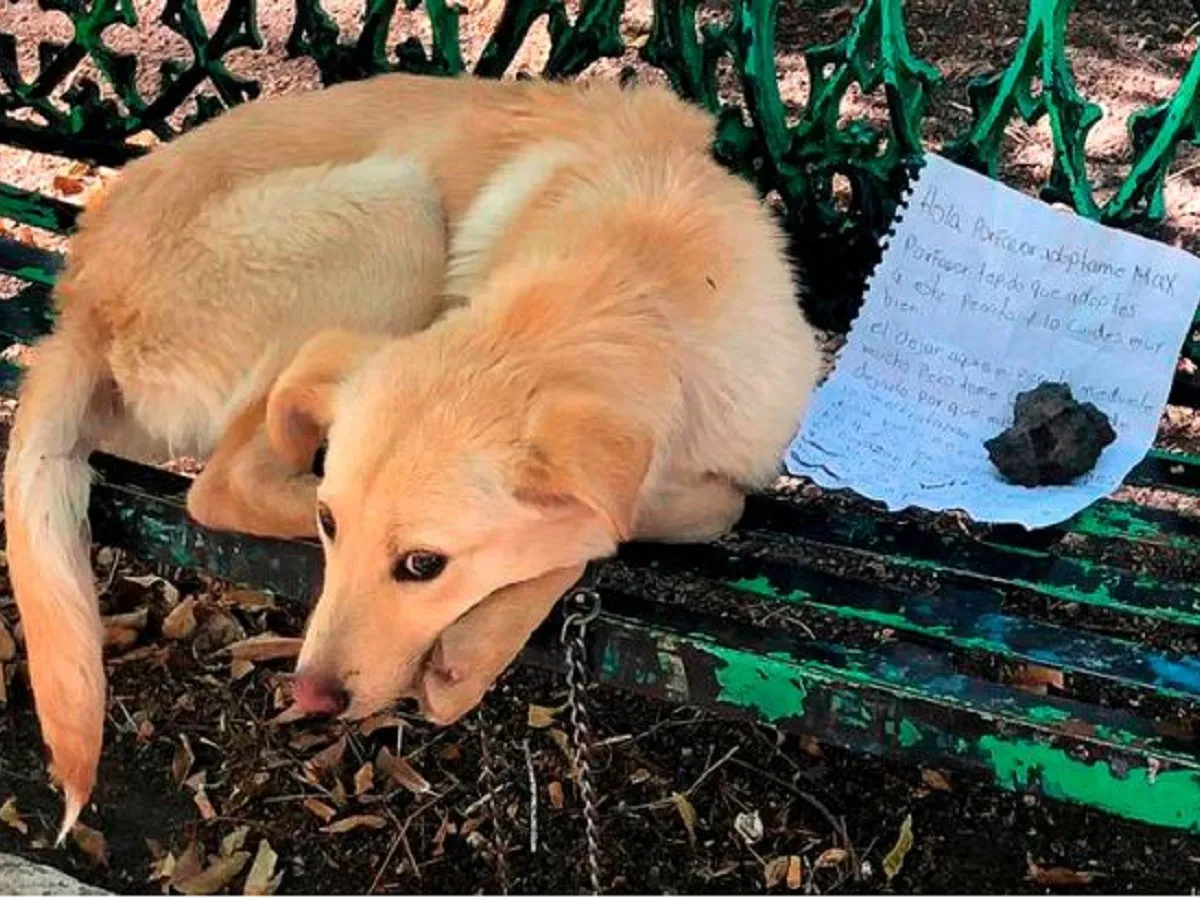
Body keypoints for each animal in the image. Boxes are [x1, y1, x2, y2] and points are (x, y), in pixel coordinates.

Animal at [2, 72, 825, 840]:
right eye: (331, 525)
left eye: (424, 565)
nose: (310, 697)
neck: (632, 282)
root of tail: (80, 299)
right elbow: (629, 523)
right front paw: (483, 639)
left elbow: (670, 510)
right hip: (395, 210)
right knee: (222, 484)